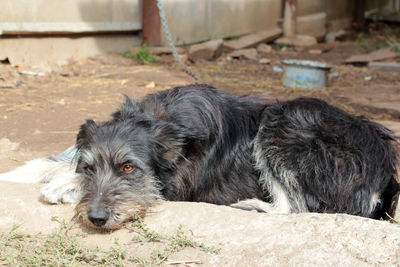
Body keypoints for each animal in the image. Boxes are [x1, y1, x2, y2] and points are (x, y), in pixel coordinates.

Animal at [1, 84, 398, 230]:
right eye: (90, 167)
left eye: (129, 168)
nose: (96, 218)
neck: (164, 121)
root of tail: (385, 173)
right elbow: (55, 158)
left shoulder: (174, 187)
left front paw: (61, 185)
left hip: (285, 118)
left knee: (296, 208)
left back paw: (252, 205)